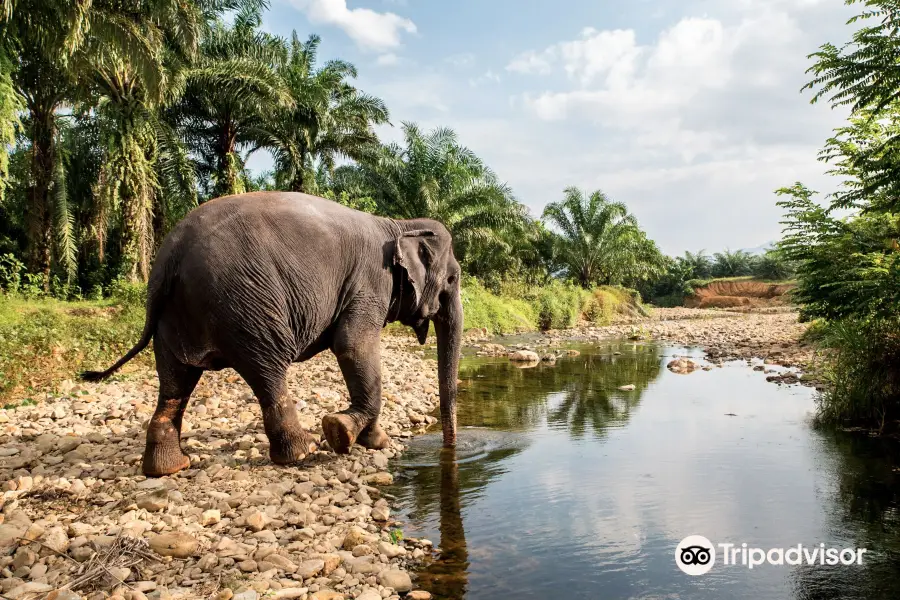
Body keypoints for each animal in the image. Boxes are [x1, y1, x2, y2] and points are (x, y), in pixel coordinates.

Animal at [80, 192, 460, 478]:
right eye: (453, 279)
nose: (451, 448)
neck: (398, 224)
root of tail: (169, 255)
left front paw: (370, 440)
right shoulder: (370, 281)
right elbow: (352, 346)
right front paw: (349, 434)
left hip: (175, 317)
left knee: (175, 382)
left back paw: (169, 468)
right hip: (247, 305)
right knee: (268, 370)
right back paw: (302, 453)